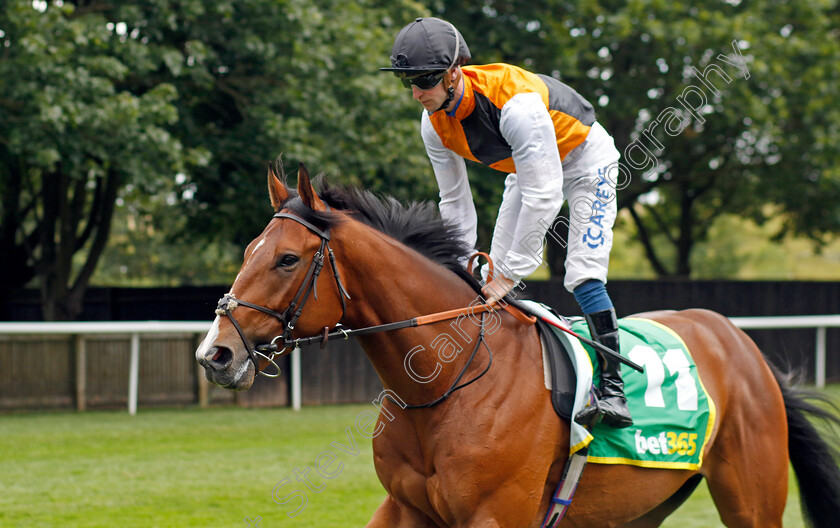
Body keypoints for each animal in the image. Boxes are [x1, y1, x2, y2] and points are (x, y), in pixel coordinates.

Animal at [195, 163, 840, 524]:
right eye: (250, 250)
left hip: (751, 496)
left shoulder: (495, 514)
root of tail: (740, 344)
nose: (215, 353)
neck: (447, 384)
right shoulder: (405, 507)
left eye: (285, 258)